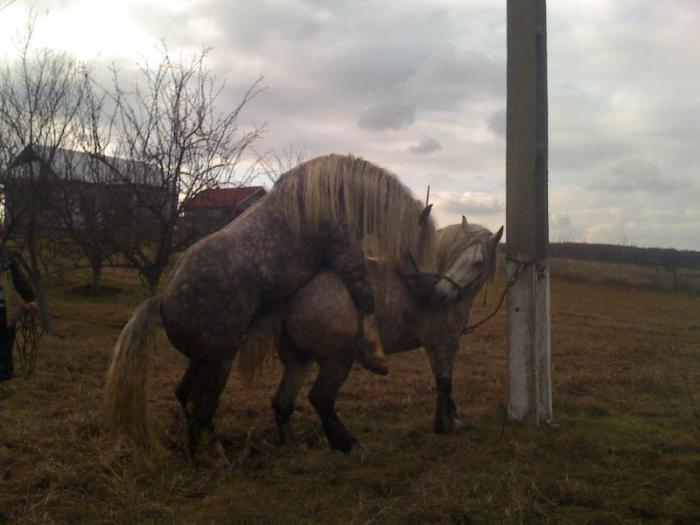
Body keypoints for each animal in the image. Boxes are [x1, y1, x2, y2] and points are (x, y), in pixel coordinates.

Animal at [102, 155, 438, 462]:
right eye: (421, 244)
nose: (429, 287)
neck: (335, 193)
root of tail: (163, 302)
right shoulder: (344, 252)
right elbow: (365, 297)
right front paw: (374, 355)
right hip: (219, 363)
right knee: (201, 409)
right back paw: (216, 458)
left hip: (204, 360)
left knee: (185, 397)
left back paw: (201, 453)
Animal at [241, 217, 504, 450]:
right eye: (457, 254)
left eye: (478, 262)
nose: (441, 293)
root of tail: (291, 297)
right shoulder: (441, 344)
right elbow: (444, 382)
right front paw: (444, 425)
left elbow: (447, 384)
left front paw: (452, 418)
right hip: (336, 360)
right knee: (320, 398)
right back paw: (347, 443)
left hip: (298, 359)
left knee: (282, 402)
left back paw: (292, 445)